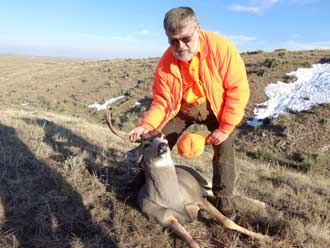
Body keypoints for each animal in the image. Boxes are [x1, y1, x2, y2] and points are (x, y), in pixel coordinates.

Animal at [105, 105, 270, 248]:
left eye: (164, 137)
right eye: (146, 144)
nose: (163, 146)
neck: (173, 199)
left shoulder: (198, 199)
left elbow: (226, 221)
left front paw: (264, 237)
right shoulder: (166, 220)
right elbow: (192, 242)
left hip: (202, 178)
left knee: (226, 191)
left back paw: (261, 203)